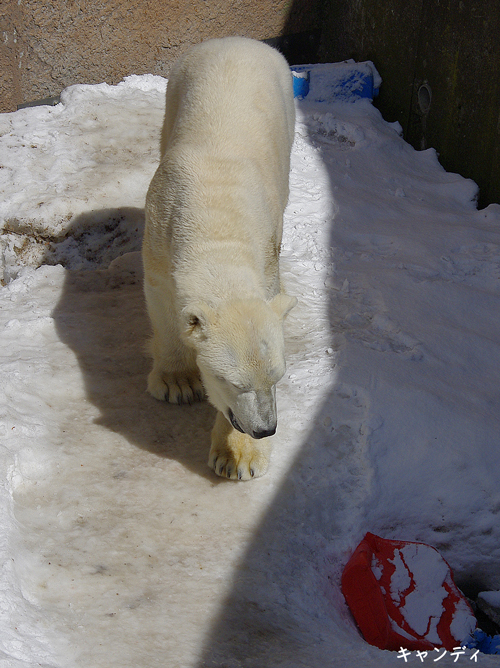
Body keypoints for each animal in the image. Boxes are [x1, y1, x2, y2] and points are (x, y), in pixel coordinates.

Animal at [143, 36, 294, 478]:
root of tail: (239, 40)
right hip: (176, 87)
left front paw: (238, 456)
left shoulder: (268, 254)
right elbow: (163, 306)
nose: (265, 429)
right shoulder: (159, 233)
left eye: (277, 376)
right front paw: (177, 383)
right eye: (234, 382)